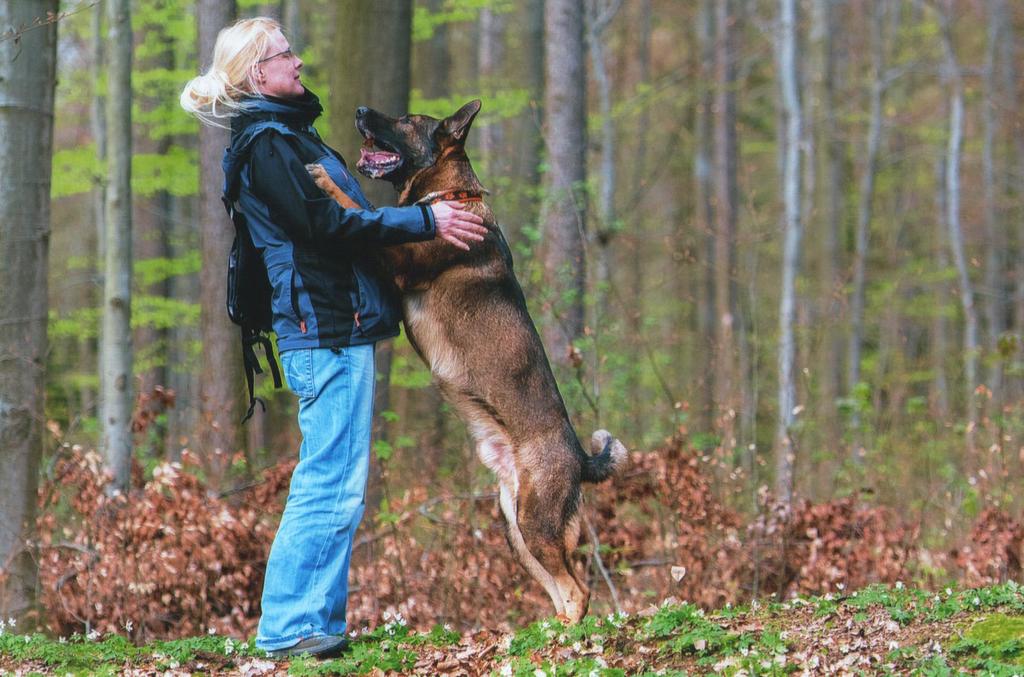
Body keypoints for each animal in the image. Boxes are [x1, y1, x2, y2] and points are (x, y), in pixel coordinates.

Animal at [303, 100, 622, 622]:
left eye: (408, 121)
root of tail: (579, 456)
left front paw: (324, 179)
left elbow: (361, 210)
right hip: (516, 528)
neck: (451, 192)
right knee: (559, 588)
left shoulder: (398, 258)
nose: (361, 110)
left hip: (537, 522)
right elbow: (374, 212)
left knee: (577, 590)